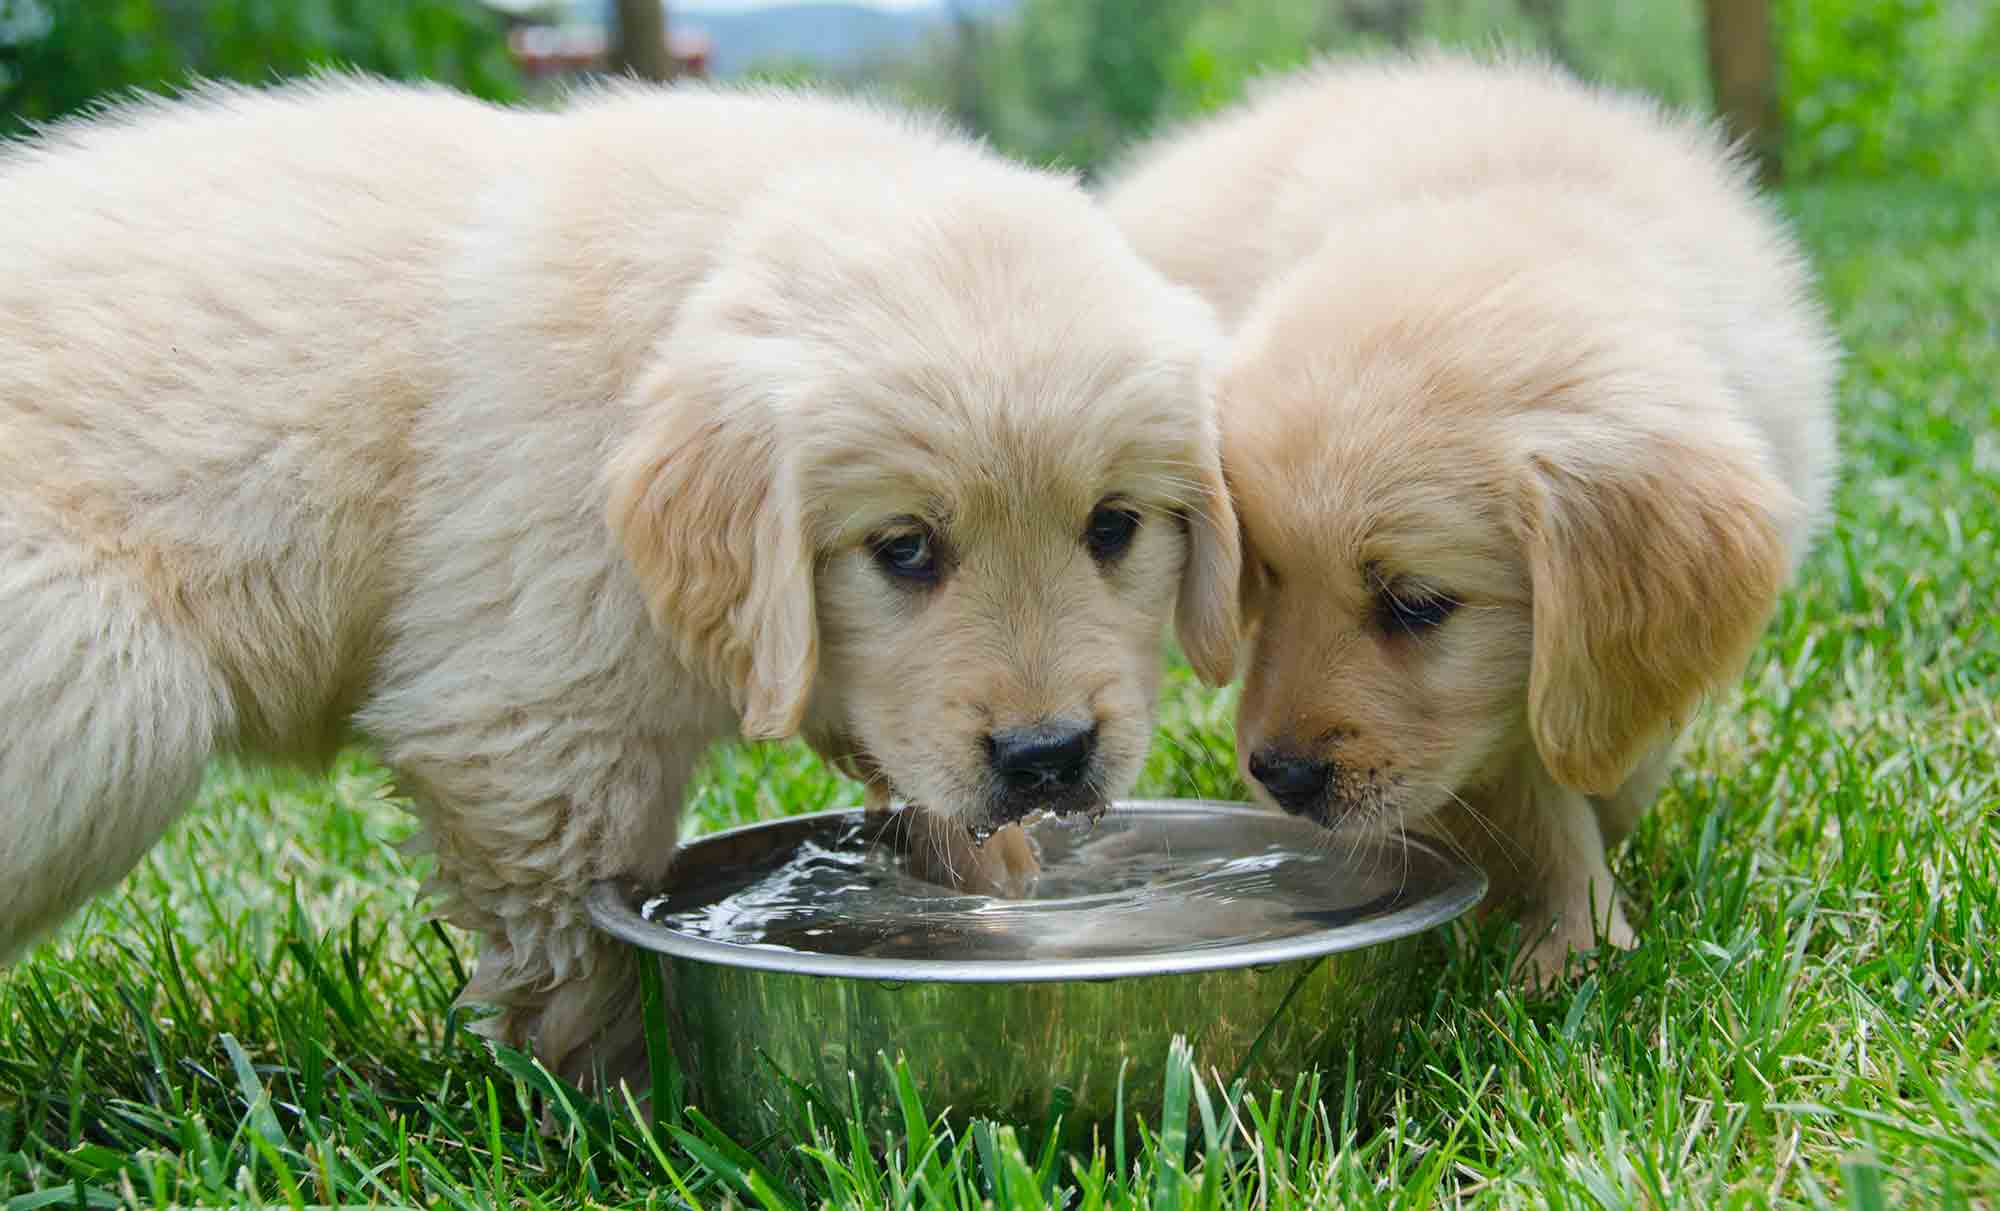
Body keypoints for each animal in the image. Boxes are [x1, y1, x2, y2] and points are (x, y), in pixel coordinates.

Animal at [0, 80, 1240, 1087]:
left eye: (1114, 525)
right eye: (902, 548)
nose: (1046, 755)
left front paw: (996, 883)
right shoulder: (531, 719)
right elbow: (579, 936)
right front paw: (623, 1093)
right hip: (105, 682)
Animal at [1112, 54, 1840, 987]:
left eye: (1417, 604)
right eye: (1264, 578)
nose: (1280, 776)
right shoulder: (1491, 734)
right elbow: (1537, 802)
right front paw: (1575, 942)